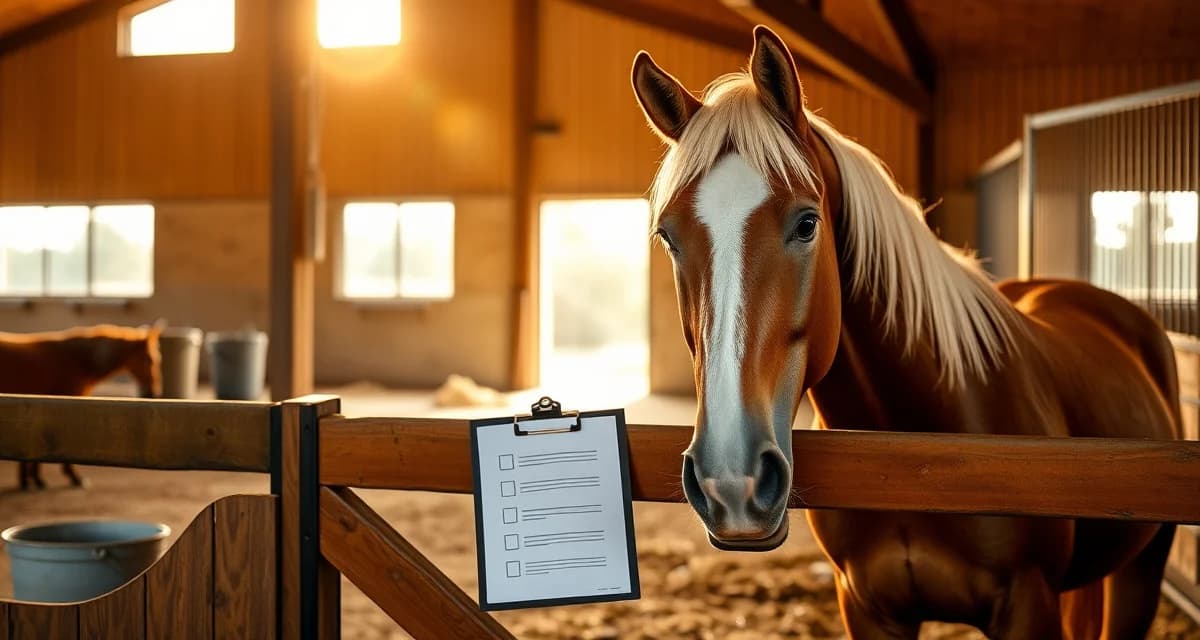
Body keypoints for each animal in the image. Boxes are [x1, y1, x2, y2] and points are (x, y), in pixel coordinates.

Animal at [631, 26, 1178, 639]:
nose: (731, 482)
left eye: (806, 223)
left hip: (1142, 572)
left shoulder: (1028, 605)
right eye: (668, 237)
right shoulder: (867, 607)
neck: (915, 452)